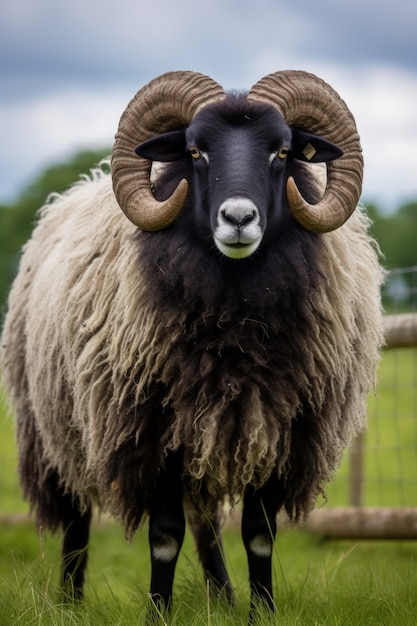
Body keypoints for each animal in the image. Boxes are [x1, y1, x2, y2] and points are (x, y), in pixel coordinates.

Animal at [0, 70, 384, 616]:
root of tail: (71, 194)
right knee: (76, 518)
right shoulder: (153, 431)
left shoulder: (277, 430)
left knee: (206, 523)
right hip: (52, 426)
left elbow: (258, 534)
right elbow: (164, 536)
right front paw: (157, 613)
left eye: (283, 151)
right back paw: (69, 602)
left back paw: (222, 596)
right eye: (195, 151)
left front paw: (261, 613)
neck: (235, 323)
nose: (239, 218)